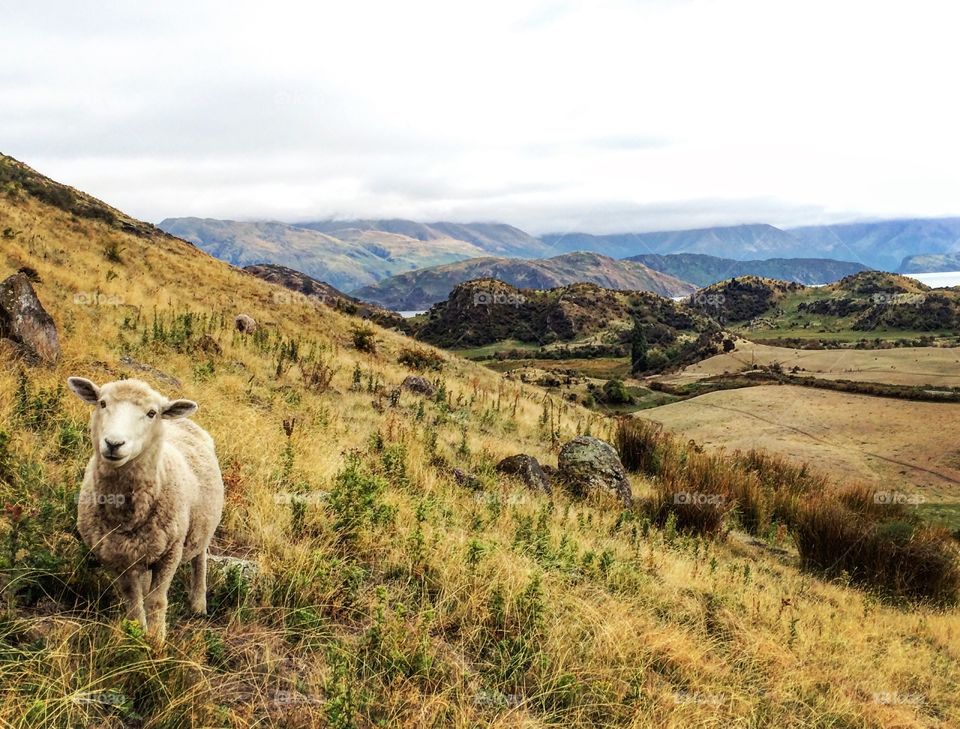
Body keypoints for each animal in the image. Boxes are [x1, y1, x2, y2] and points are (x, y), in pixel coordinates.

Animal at [67, 378, 225, 640]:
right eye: (102, 403)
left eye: (151, 413)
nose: (114, 443)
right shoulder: (117, 558)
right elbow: (133, 601)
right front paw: (135, 635)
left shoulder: (171, 552)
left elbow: (157, 601)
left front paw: (156, 640)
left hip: (199, 527)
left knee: (200, 558)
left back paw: (198, 603)